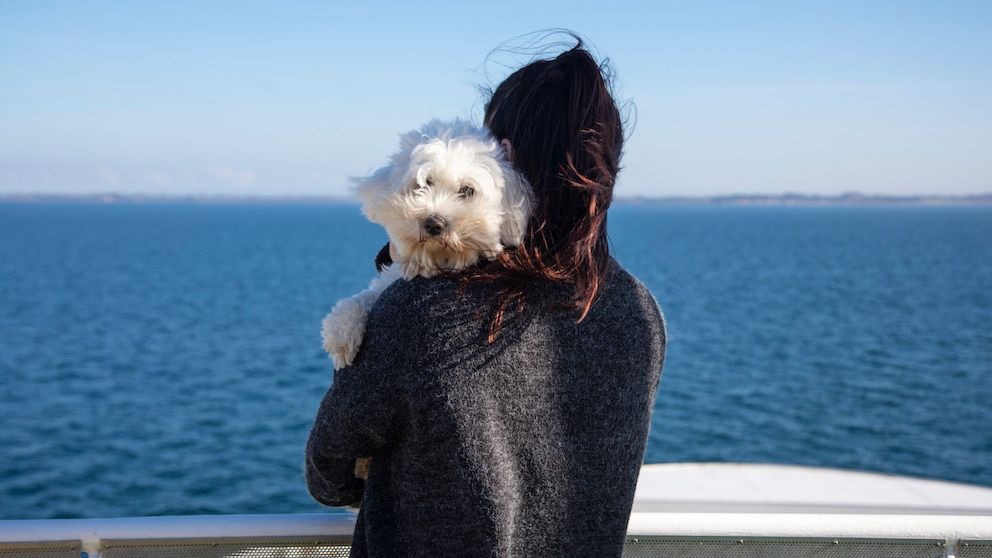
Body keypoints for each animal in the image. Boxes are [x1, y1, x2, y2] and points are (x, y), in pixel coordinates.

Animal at [322, 120, 532, 370]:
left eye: (467, 190)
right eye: (424, 183)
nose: (434, 223)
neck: (436, 259)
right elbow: (366, 295)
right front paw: (341, 333)